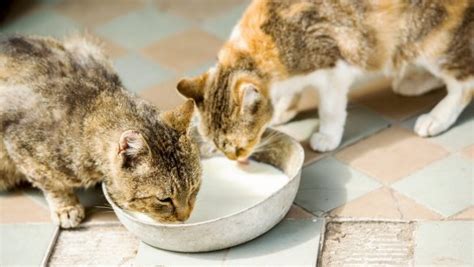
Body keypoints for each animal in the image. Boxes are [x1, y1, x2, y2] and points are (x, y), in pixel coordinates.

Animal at [0, 35, 200, 228]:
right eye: (164, 199)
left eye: (194, 188)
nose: (185, 217)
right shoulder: (20, 144)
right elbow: (51, 183)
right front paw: (65, 206)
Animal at [177, 0, 470, 159]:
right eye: (216, 144)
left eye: (237, 147)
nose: (234, 160)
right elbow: (288, 93)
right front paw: (282, 110)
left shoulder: (334, 69)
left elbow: (330, 109)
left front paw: (327, 136)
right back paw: (413, 81)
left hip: (433, 40)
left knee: (465, 81)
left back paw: (436, 117)